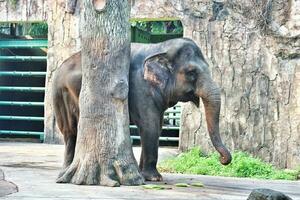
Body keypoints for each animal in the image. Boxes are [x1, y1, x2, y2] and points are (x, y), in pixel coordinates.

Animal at [53, 37, 232, 181]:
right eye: (191, 72)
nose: (222, 160)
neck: (160, 48)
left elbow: (157, 127)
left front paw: (142, 174)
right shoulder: (140, 87)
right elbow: (149, 125)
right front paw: (154, 178)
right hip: (60, 95)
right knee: (70, 131)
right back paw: (64, 173)